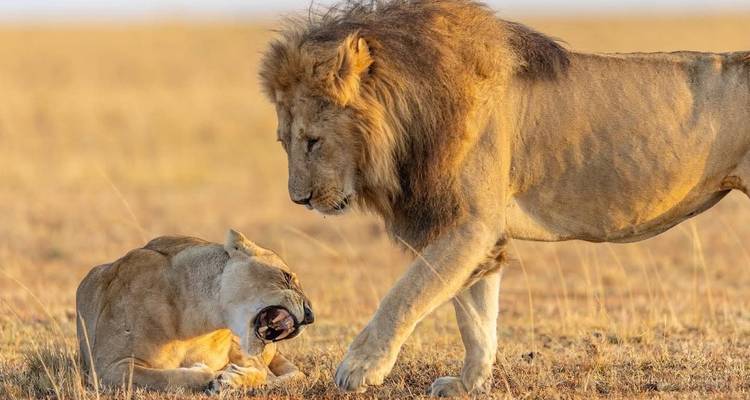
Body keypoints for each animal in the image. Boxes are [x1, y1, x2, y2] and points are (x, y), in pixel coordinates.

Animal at [75, 229, 314, 393]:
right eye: (286, 276)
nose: (310, 315)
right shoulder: (107, 368)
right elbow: (163, 377)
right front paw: (208, 375)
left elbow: (259, 374)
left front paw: (229, 379)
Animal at [259, 0, 750, 396]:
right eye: (282, 141)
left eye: (313, 141)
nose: (299, 199)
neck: (413, 114)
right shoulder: (471, 232)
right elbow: (474, 319)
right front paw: (468, 384)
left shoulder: (469, 225)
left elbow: (406, 295)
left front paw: (359, 369)